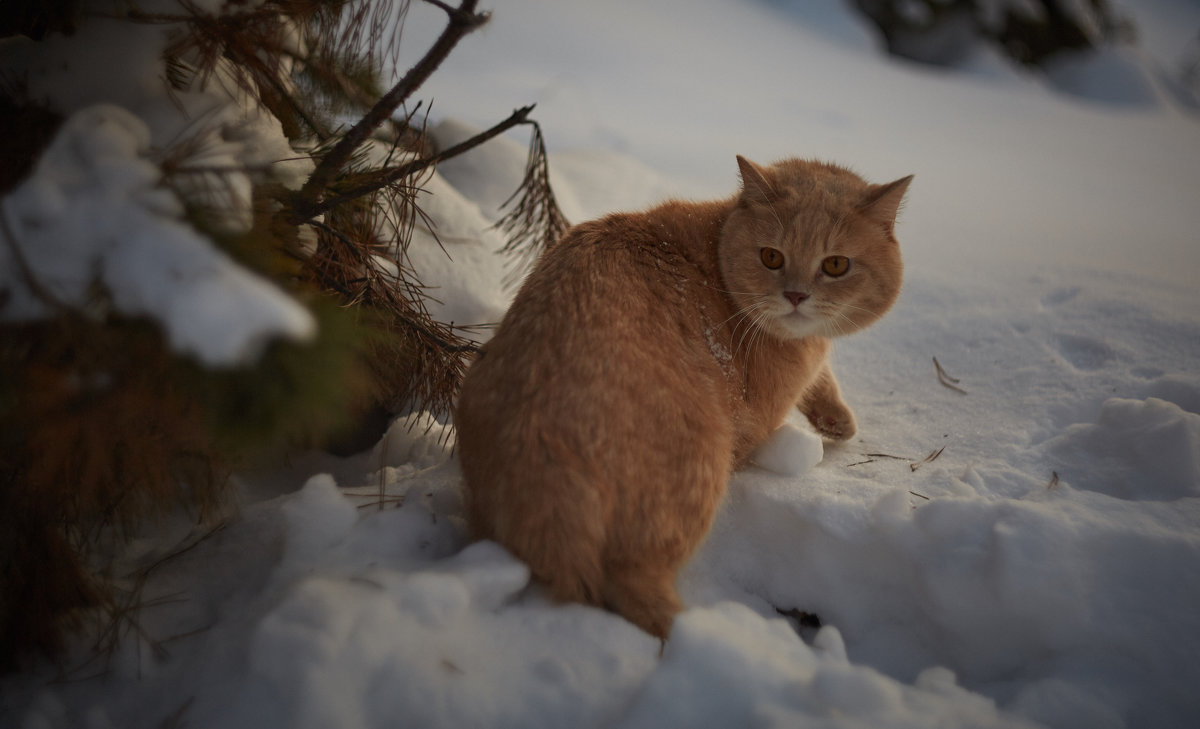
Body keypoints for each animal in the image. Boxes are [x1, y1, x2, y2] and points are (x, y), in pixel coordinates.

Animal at [456, 154, 907, 637]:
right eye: (772, 257)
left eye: (836, 265)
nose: (796, 295)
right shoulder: (759, 414)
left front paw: (836, 418)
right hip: (703, 464)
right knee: (637, 588)